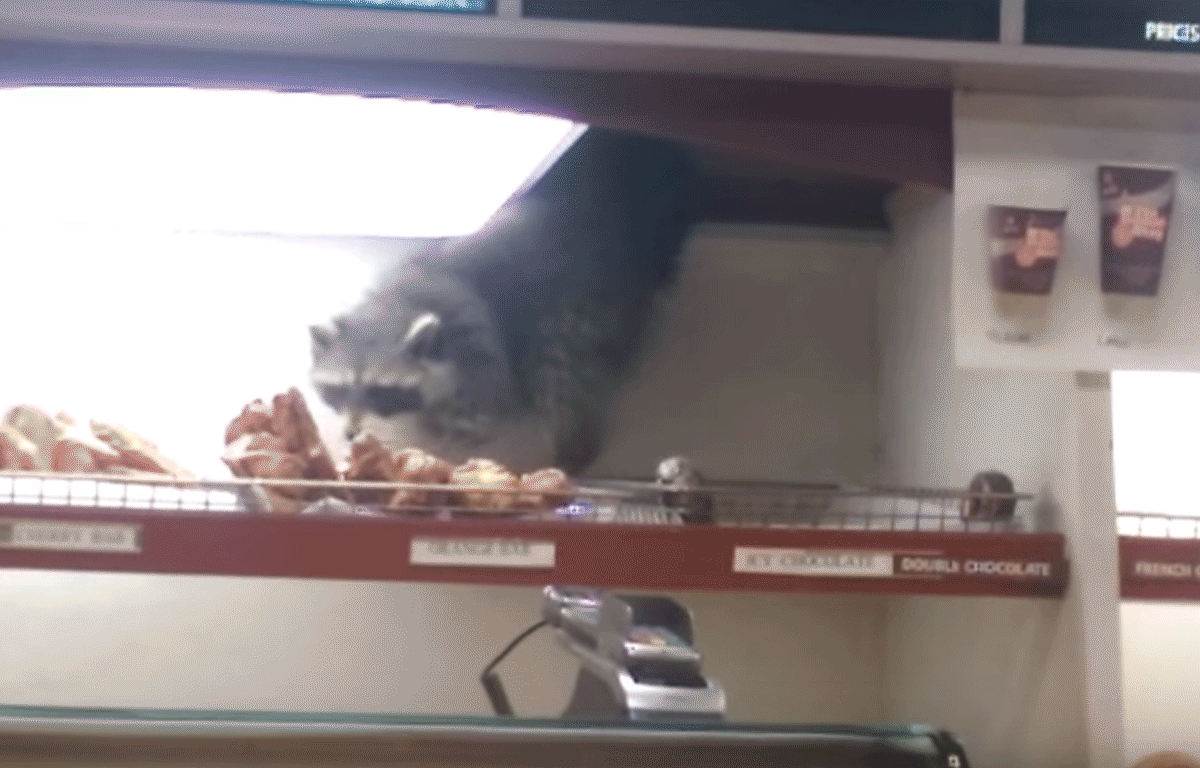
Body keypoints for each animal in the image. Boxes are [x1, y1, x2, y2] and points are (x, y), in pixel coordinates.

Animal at [309, 129, 696, 475]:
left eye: (380, 391)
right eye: (338, 389)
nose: (350, 433)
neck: (393, 303)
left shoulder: (473, 339)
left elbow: (487, 406)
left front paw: (446, 437)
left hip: (583, 297)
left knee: (562, 368)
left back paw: (574, 441)